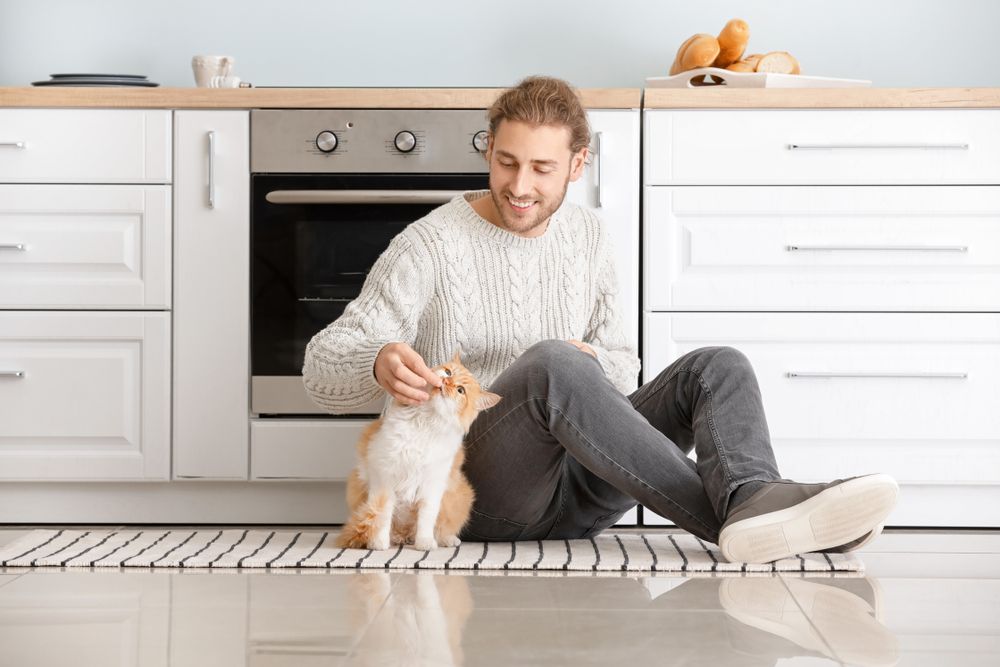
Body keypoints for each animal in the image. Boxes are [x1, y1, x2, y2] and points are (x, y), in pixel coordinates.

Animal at [336, 352, 500, 552]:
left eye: (461, 391)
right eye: (448, 372)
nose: (446, 382)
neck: (425, 421)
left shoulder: (432, 485)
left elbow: (426, 519)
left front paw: (425, 543)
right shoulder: (383, 478)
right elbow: (382, 516)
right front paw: (378, 542)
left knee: (440, 528)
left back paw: (446, 540)